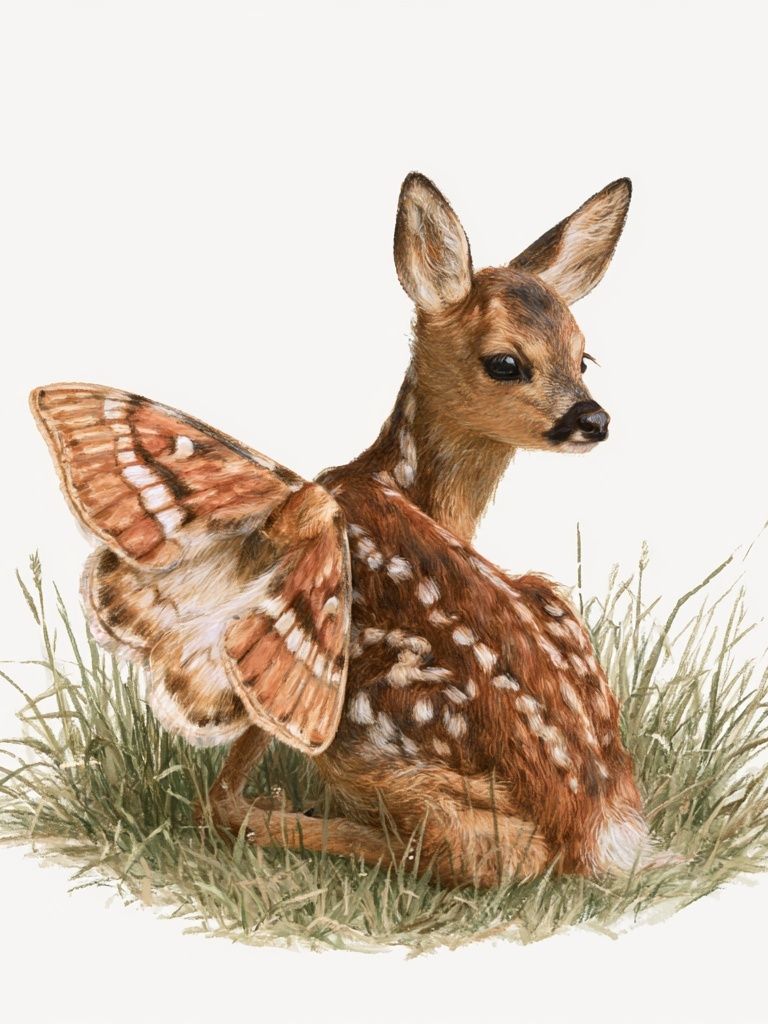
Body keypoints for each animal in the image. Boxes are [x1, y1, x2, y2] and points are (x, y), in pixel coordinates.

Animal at [31, 172, 672, 887]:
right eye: (506, 363)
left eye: (584, 357)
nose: (593, 419)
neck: (398, 486)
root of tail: (599, 828)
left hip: (371, 731)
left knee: (480, 850)